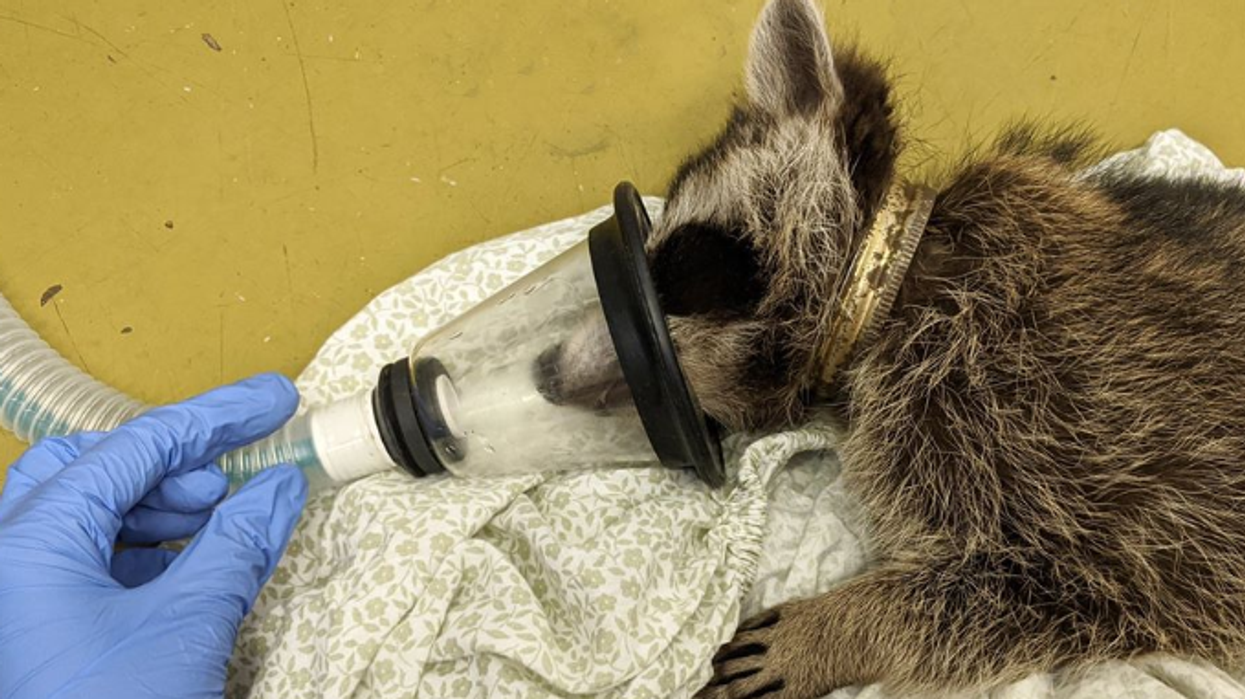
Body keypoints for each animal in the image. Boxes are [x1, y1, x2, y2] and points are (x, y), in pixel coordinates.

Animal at [633, 0, 1245, 697]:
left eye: (681, 258)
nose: (566, 368)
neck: (888, 285)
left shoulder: (1088, 442)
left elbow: (1049, 590)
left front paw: (837, 629)